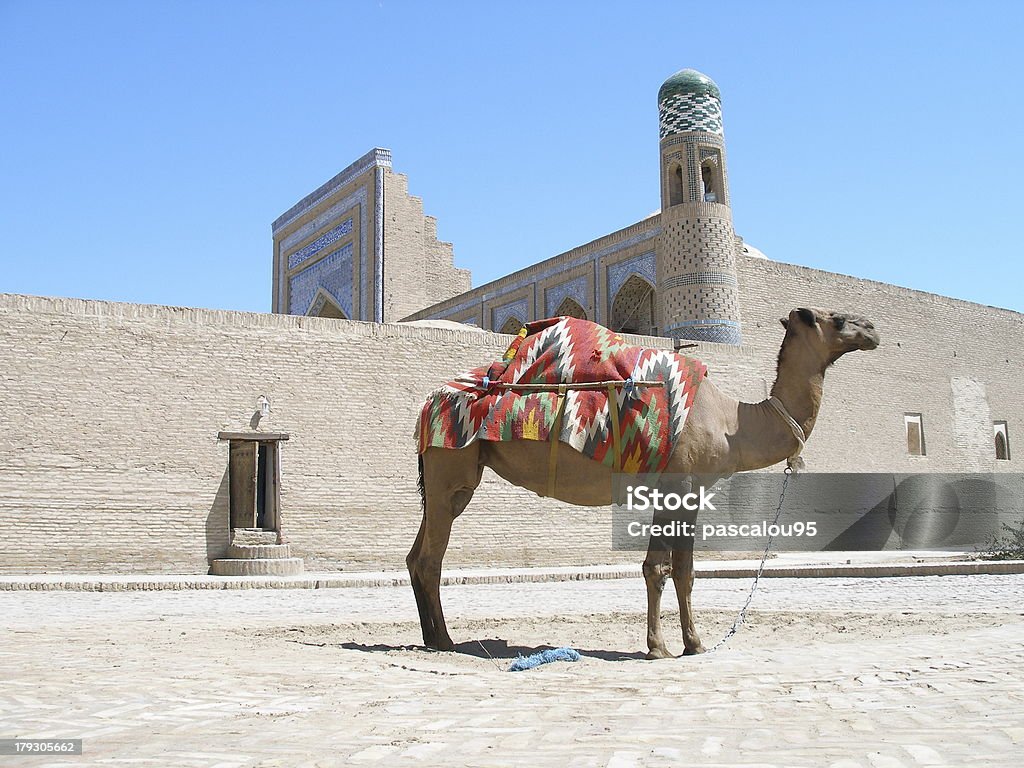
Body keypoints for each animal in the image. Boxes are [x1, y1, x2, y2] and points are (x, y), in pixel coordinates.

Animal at [407, 309, 880, 659]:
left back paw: (430, 638)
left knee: (417, 555)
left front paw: (694, 644)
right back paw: (445, 641)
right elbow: (658, 568)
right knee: (431, 558)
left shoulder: (690, 491)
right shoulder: (675, 483)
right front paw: (659, 647)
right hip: (451, 464)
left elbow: (686, 571)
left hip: (444, 481)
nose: (873, 330)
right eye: (838, 319)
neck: (734, 422)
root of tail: (427, 404)